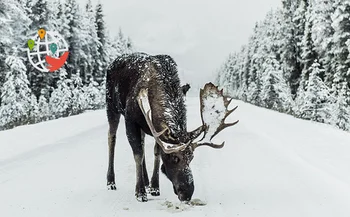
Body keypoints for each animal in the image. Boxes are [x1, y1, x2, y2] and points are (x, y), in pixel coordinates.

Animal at [106, 52, 238, 202]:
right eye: (175, 158)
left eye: (191, 157)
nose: (187, 193)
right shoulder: (130, 120)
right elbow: (138, 154)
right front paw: (140, 192)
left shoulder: (155, 129)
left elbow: (156, 153)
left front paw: (154, 187)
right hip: (111, 106)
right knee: (112, 138)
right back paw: (111, 182)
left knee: (143, 141)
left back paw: (146, 181)